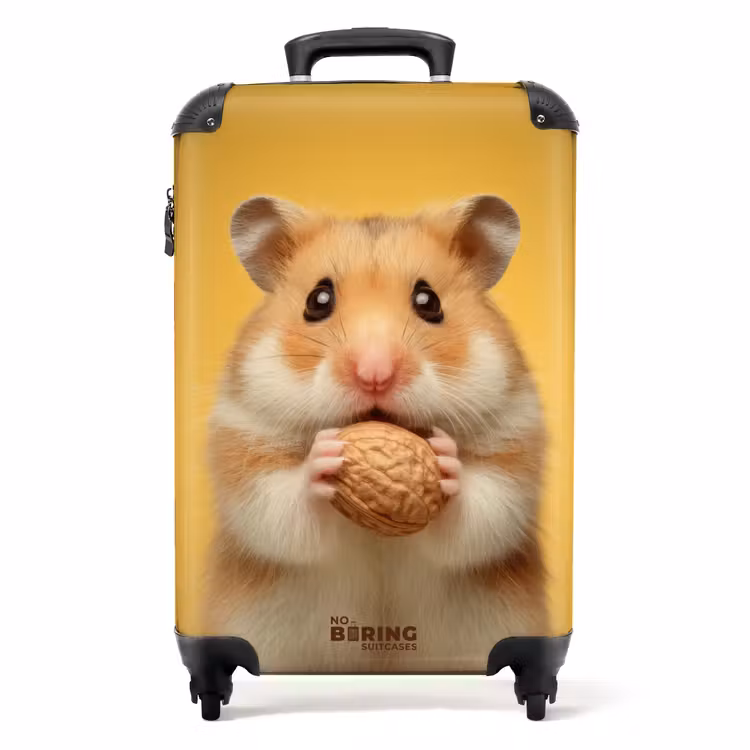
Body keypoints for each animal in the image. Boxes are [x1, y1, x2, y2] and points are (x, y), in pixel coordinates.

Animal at [204, 194, 547, 673]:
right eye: (317, 299)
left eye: (428, 300)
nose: (375, 375)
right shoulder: (245, 446)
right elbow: (281, 510)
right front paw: (324, 457)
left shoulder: (513, 445)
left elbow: (482, 515)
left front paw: (445, 461)